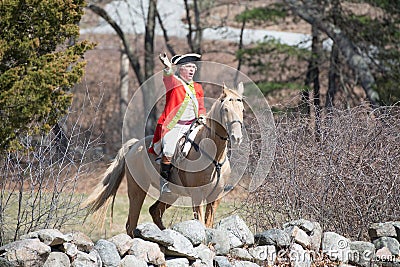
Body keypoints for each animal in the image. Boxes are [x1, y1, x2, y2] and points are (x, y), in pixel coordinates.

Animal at [84, 83, 244, 237]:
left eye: (242, 109)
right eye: (225, 110)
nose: (237, 137)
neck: (214, 155)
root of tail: (134, 145)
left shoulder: (216, 197)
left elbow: (209, 225)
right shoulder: (197, 196)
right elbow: (201, 224)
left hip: (171, 195)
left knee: (154, 211)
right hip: (137, 190)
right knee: (131, 225)